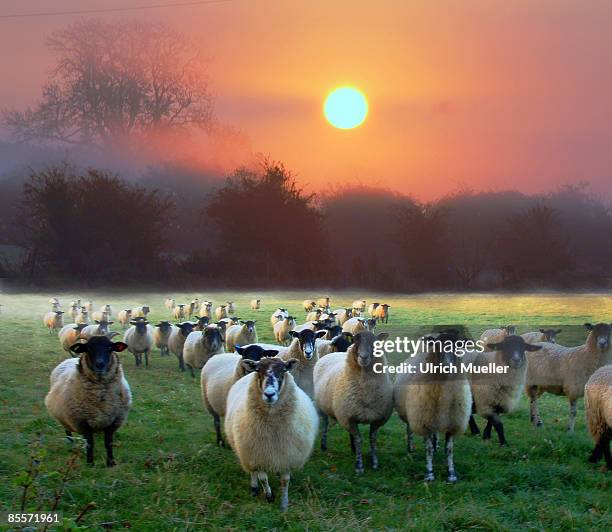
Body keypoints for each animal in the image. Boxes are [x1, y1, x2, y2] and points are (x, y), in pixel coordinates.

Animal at [224, 356, 318, 512]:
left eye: (284, 371)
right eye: (258, 371)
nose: (269, 394)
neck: (273, 428)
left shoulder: (287, 455)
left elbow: (285, 481)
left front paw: (284, 504)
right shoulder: (258, 455)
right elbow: (263, 478)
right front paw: (269, 496)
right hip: (247, 451)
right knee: (253, 472)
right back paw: (254, 488)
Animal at [314, 332, 394, 474]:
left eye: (375, 342)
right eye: (355, 340)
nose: (364, 357)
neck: (366, 392)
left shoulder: (378, 419)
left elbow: (372, 439)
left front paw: (374, 462)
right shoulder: (348, 418)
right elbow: (359, 440)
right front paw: (359, 466)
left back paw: (352, 450)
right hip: (321, 407)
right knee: (325, 424)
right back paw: (323, 445)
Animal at [394, 328, 470, 482]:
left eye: (458, 346)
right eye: (438, 346)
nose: (446, 367)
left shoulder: (452, 422)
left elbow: (449, 449)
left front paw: (451, 474)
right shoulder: (424, 421)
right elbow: (427, 449)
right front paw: (429, 474)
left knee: (435, 435)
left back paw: (436, 447)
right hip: (412, 414)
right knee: (409, 430)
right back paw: (410, 449)